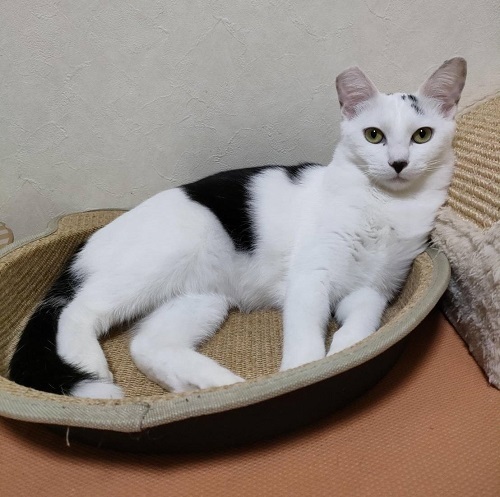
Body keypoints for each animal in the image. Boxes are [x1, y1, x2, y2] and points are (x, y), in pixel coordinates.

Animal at [9, 58, 467, 399]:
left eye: (422, 135)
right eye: (374, 135)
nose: (398, 162)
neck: (385, 207)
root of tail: (88, 241)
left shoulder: (374, 289)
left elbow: (362, 326)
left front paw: (346, 352)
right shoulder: (311, 276)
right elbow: (305, 336)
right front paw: (303, 374)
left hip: (201, 300)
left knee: (146, 344)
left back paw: (211, 383)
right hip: (157, 260)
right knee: (76, 311)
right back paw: (95, 370)